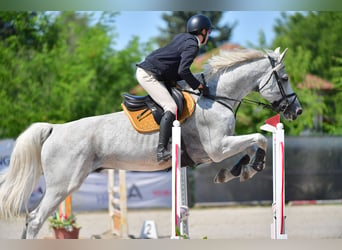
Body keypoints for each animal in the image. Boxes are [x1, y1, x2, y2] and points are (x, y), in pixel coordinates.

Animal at [0, 47, 302, 238]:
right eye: (285, 78)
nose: (296, 110)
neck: (216, 98)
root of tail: (55, 129)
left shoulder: (217, 149)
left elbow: (253, 143)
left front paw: (238, 170)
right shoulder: (218, 148)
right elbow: (260, 138)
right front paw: (248, 168)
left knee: (32, 220)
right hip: (63, 185)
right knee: (35, 220)